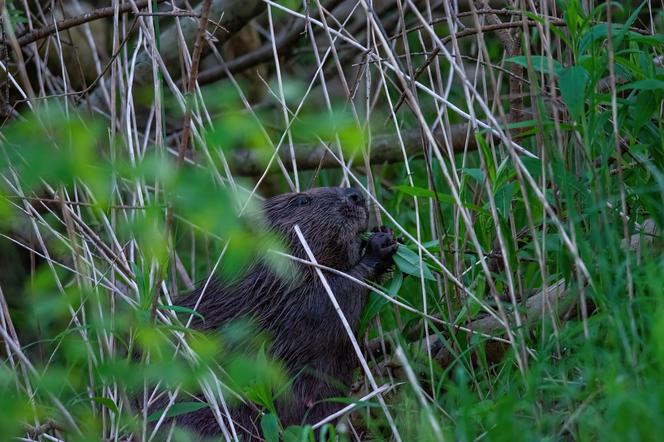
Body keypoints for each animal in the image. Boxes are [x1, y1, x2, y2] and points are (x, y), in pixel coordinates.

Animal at [174, 187, 396, 442]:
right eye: (302, 200)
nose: (356, 194)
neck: (259, 285)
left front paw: (384, 232)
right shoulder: (278, 308)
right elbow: (329, 303)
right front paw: (378, 247)